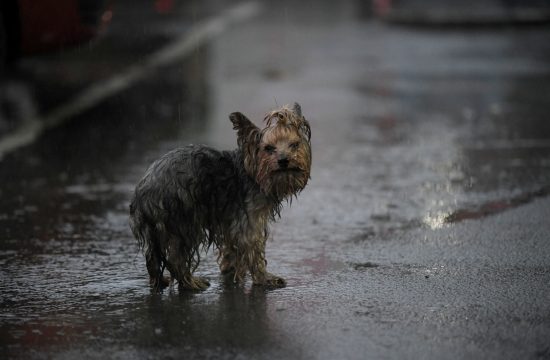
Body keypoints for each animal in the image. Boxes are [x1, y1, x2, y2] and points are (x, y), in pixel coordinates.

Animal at [128, 102, 310, 292]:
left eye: (294, 145)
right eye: (268, 148)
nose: (283, 160)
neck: (254, 175)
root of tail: (142, 192)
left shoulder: (229, 219)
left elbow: (231, 245)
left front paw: (229, 268)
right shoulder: (249, 221)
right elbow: (254, 250)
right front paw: (264, 278)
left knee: (152, 257)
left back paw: (160, 281)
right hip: (182, 219)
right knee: (176, 257)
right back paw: (192, 282)